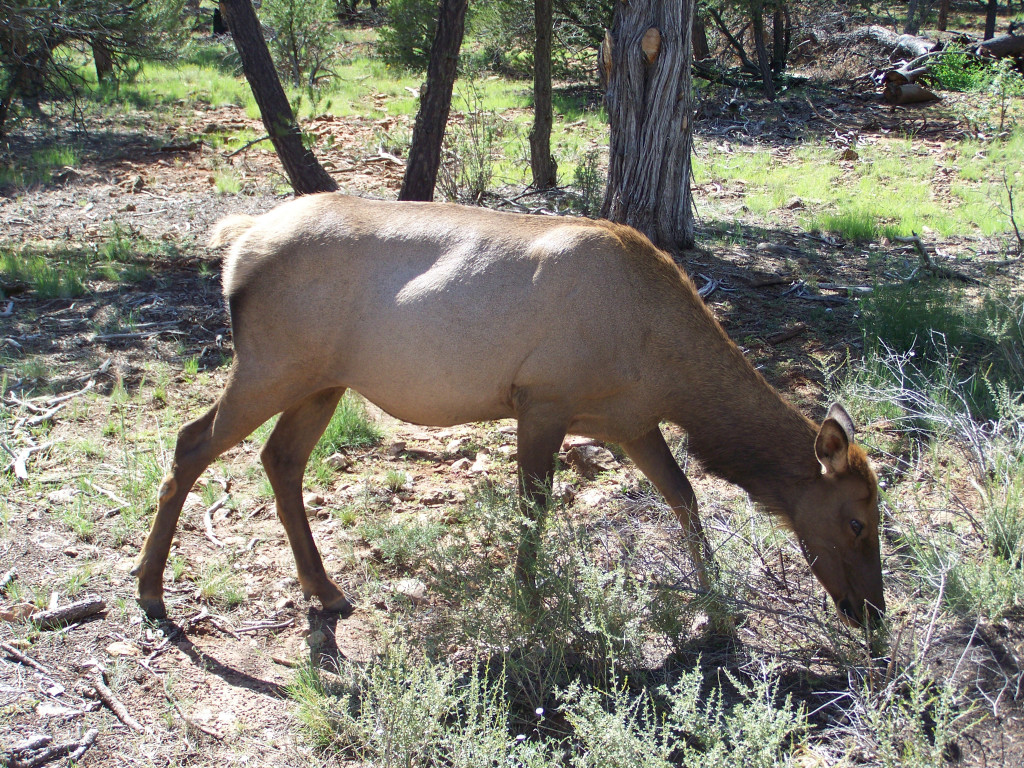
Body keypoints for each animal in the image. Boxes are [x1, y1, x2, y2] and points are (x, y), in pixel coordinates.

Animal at [132, 193, 885, 627]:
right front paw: (527, 603)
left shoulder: (629, 422)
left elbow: (685, 497)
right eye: (856, 521)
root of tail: (236, 245)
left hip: (322, 380)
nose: (872, 615)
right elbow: (534, 513)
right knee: (190, 442)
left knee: (280, 459)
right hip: (272, 364)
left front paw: (717, 607)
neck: (667, 367)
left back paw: (325, 589)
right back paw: (150, 590)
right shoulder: (543, 401)